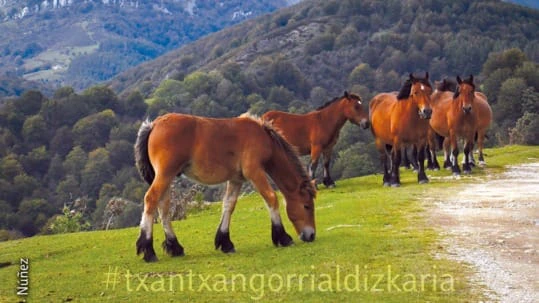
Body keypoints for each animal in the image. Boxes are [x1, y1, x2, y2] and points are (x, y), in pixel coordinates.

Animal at [134, 113, 316, 262]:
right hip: (165, 174)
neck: (262, 137)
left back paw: (175, 247)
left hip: (167, 176)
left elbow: (229, 205)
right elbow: (271, 198)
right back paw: (148, 251)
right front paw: (283, 237)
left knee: (163, 207)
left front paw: (225, 242)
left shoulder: (236, 179)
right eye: (306, 206)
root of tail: (154, 125)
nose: (311, 235)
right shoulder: (254, 172)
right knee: (151, 199)